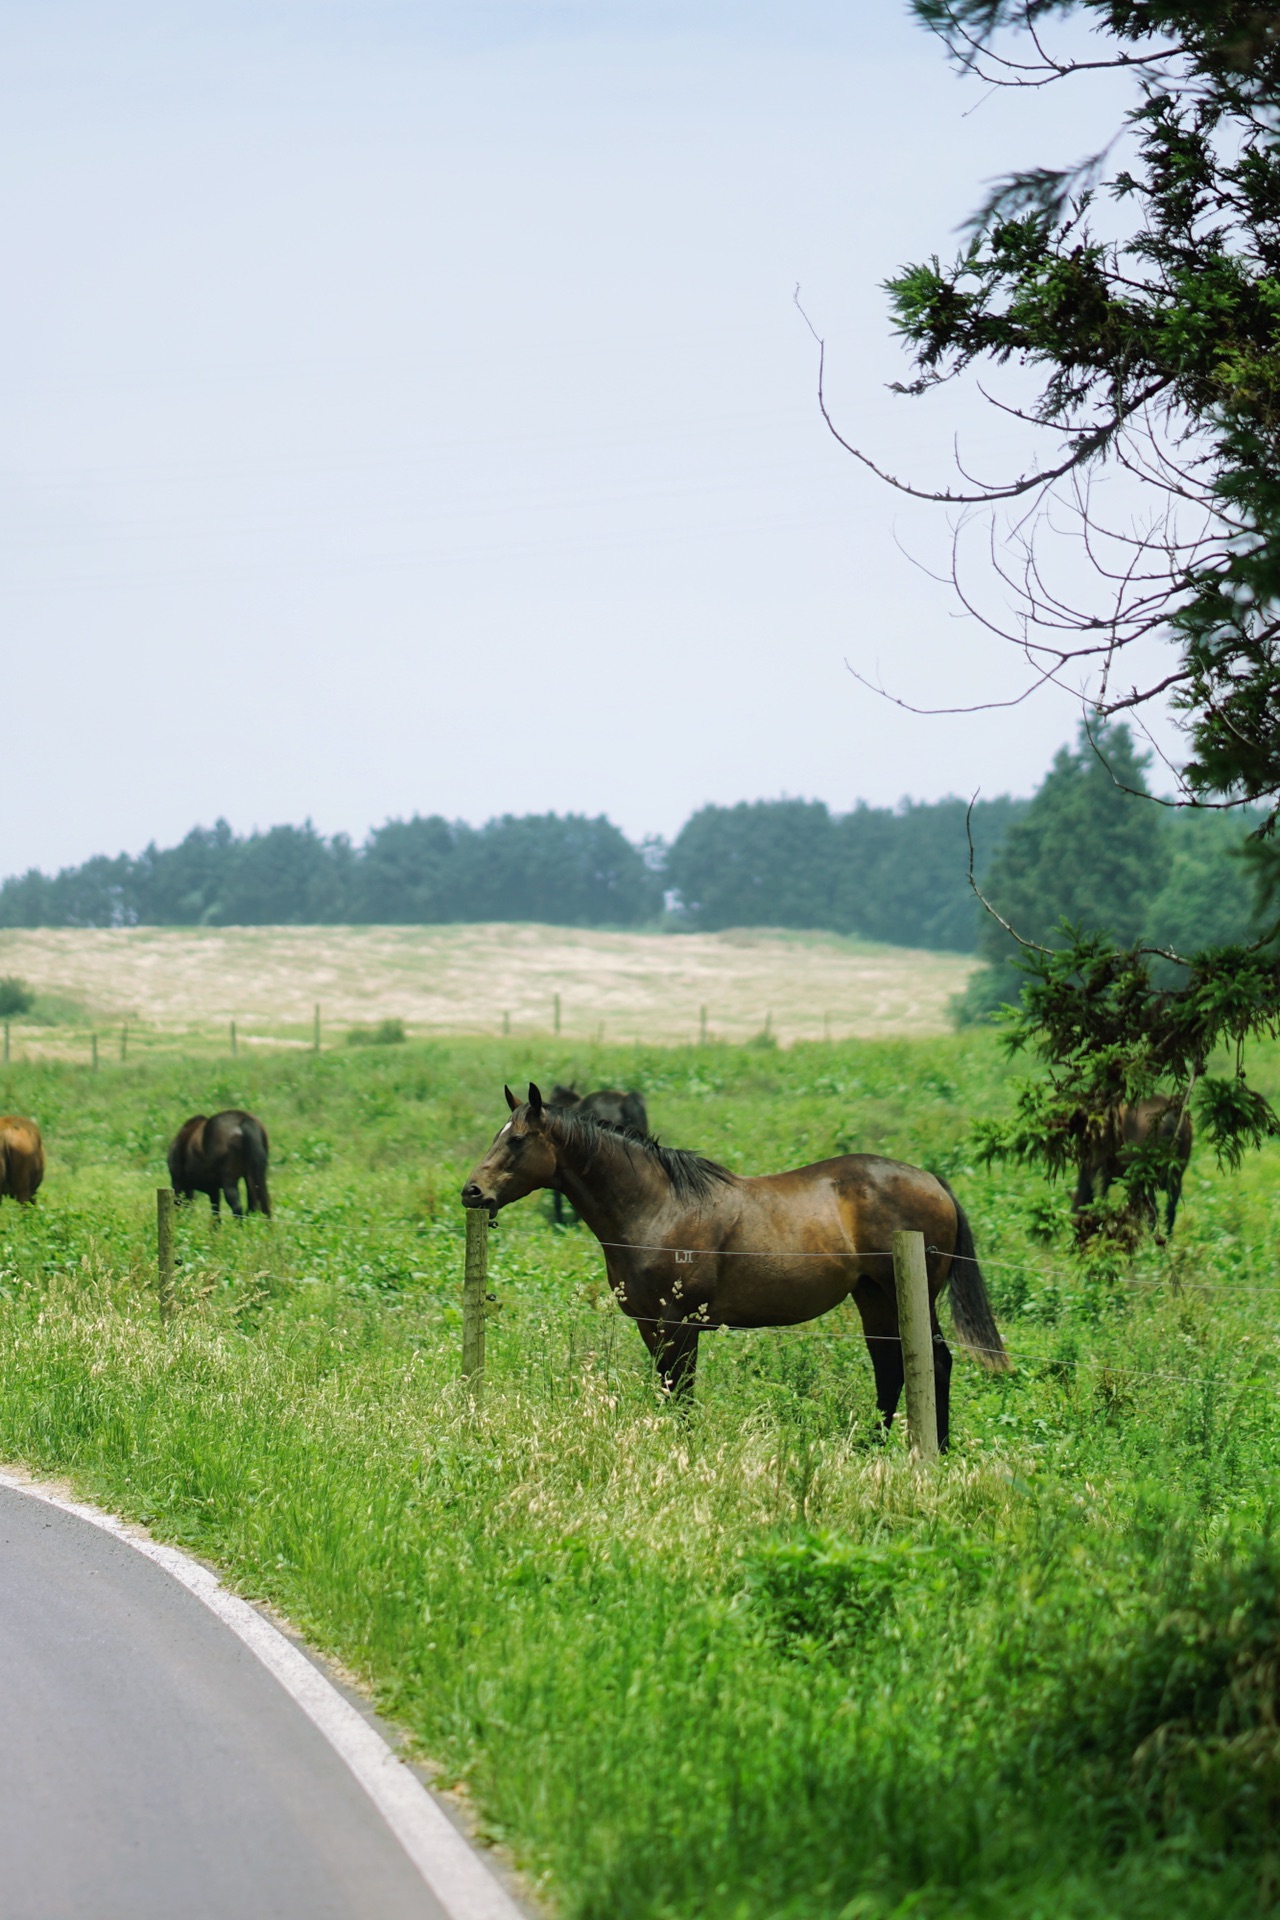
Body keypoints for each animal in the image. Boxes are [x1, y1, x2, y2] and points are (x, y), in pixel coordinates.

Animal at [1074, 1098, 1189, 1244]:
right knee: (1169, 1210)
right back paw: (1167, 1239)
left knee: (1154, 1211)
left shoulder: (1102, 1173)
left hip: (1146, 1173)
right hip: (1176, 1173)